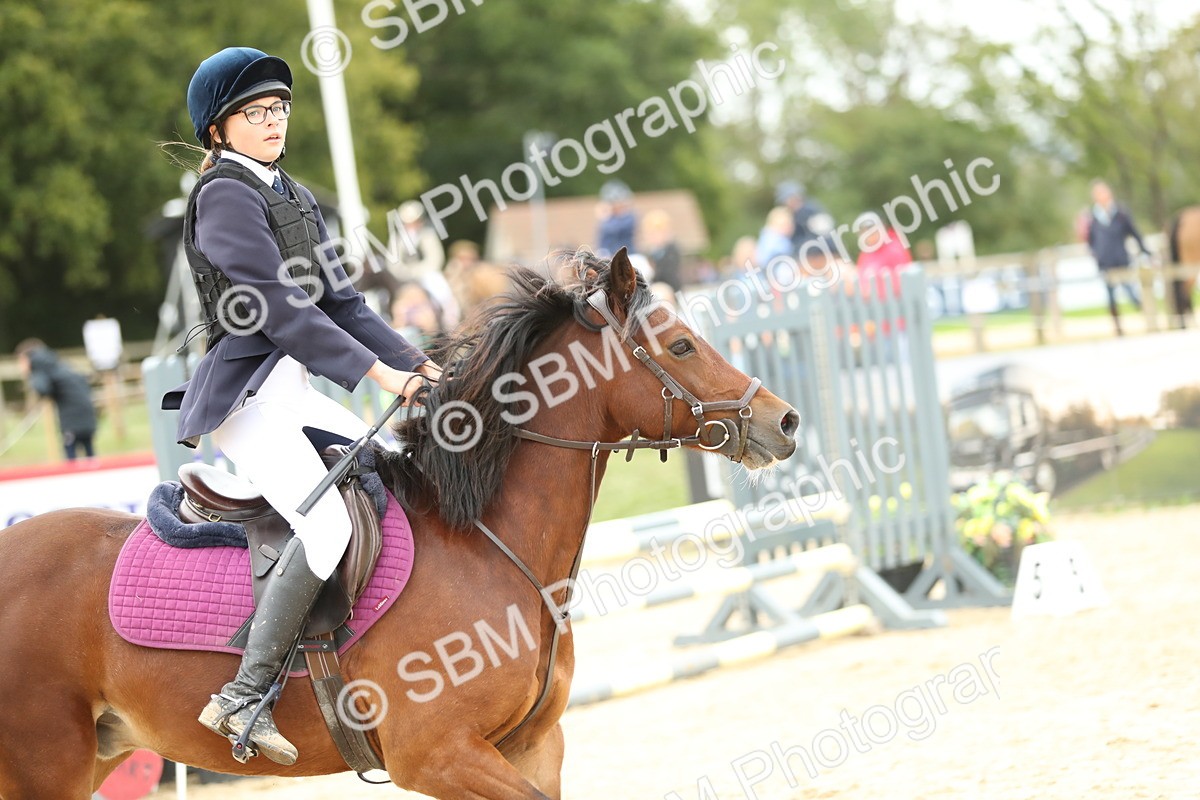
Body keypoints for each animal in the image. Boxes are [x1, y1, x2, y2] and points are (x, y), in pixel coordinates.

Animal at [0, 248, 799, 799]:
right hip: (47, 764)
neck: (484, 545)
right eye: (682, 346)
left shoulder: (531, 747)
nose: (783, 421)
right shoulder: (439, 756)